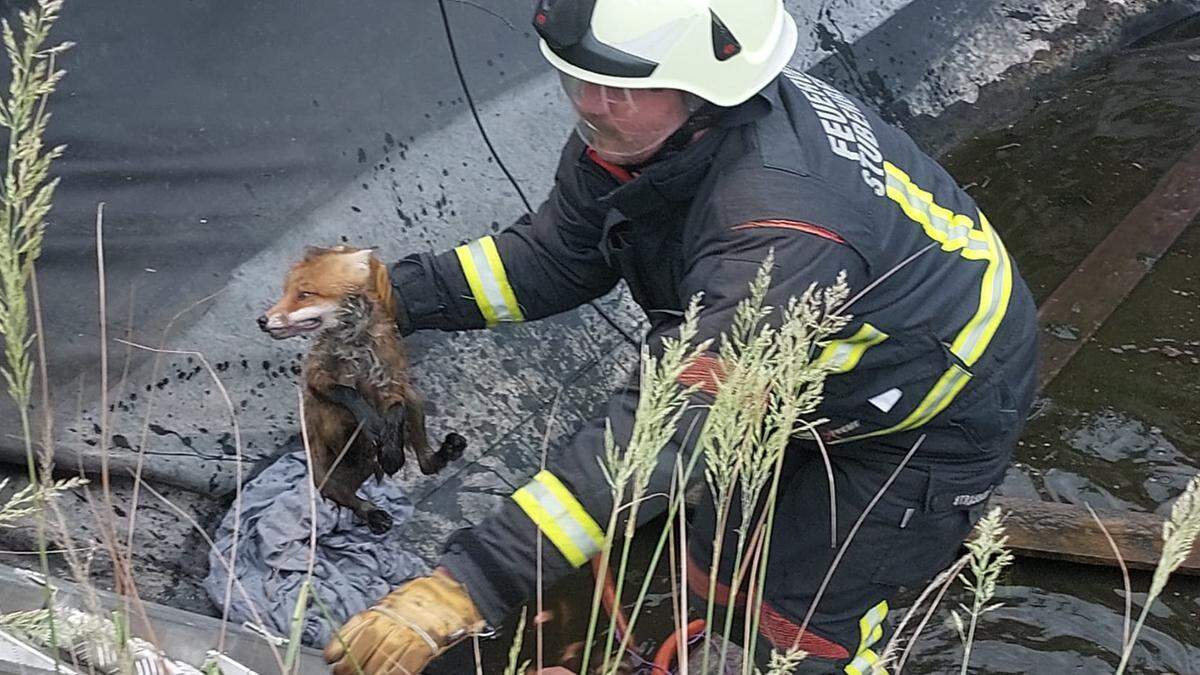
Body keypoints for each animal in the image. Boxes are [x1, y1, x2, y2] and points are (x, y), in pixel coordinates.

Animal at [258, 243, 463, 533]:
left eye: (304, 294)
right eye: (285, 291)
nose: (261, 320)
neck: (356, 351)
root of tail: (365, 471)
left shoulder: (393, 383)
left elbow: (395, 411)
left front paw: (390, 451)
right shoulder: (317, 379)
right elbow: (349, 394)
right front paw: (371, 421)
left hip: (416, 401)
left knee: (425, 463)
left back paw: (446, 451)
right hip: (324, 475)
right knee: (347, 498)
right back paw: (371, 512)